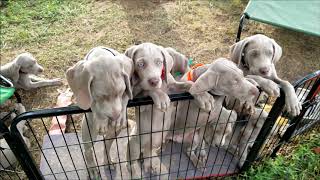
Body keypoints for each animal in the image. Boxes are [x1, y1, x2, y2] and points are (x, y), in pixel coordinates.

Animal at [66, 47, 134, 179]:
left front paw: (120, 117)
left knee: (106, 144)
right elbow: (92, 103)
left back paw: (107, 161)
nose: (114, 117)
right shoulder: (88, 98)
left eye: (121, 91)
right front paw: (102, 120)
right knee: (88, 150)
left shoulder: (128, 85)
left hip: (114, 131)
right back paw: (92, 169)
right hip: (88, 129)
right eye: (100, 96)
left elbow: (125, 98)